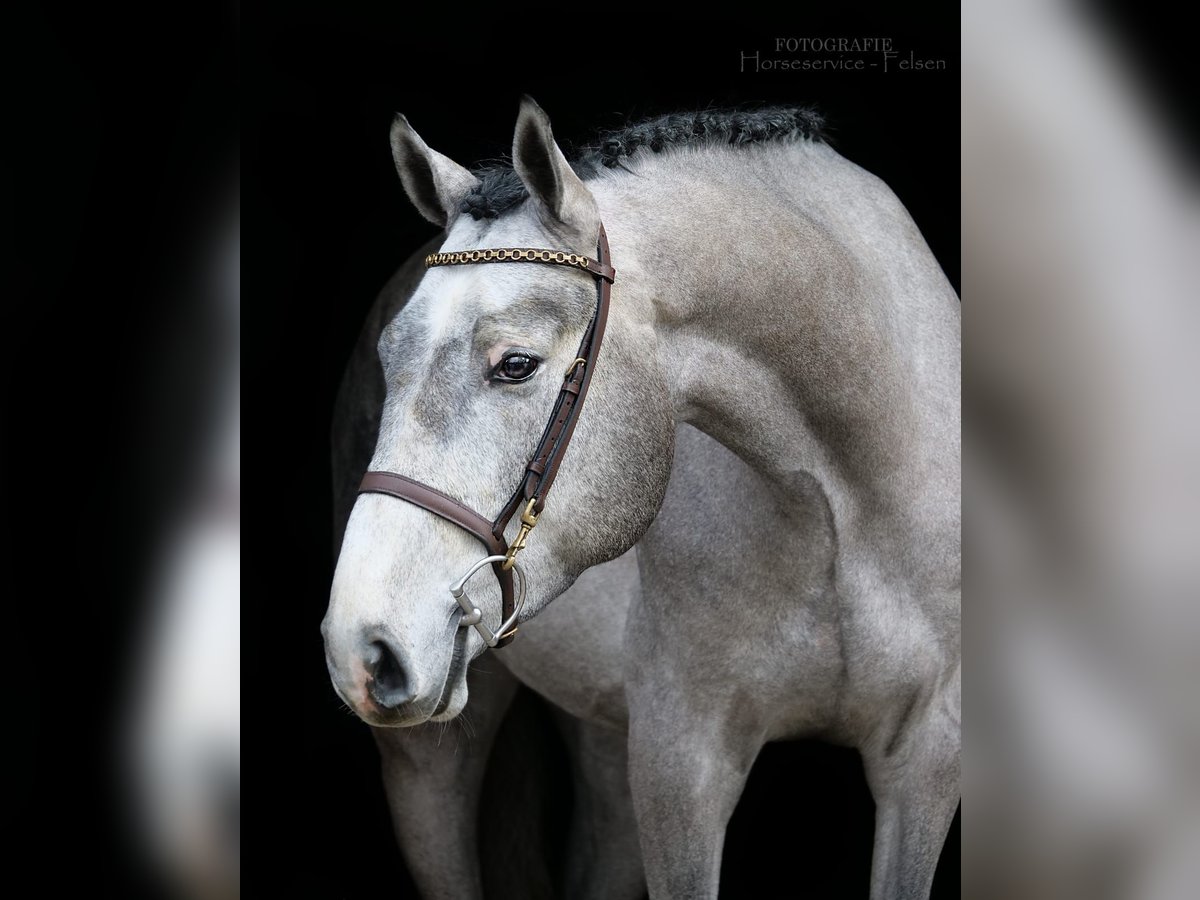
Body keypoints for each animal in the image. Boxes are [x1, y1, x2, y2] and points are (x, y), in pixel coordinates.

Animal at [321, 100, 955, 900]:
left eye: (516, 365)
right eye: (389, 358)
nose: (361, 647)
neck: (842, 511)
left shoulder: (925, 760)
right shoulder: (682, 762)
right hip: (431, 762)